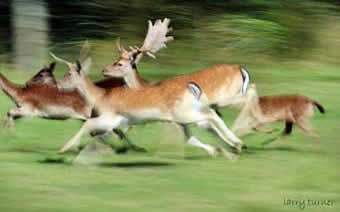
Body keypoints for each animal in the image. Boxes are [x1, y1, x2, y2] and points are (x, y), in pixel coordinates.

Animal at [52, 54, 244, 157]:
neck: (99, 96)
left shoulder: (110, 118)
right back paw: (231, 146)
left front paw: (63, 149)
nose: (57, 84)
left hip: (184, 114)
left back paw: (237, 143)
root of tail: (191, 88)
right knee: (207, 120)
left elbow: (88, 124)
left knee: (211, 115)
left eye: (69, 73)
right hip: (186, 116)